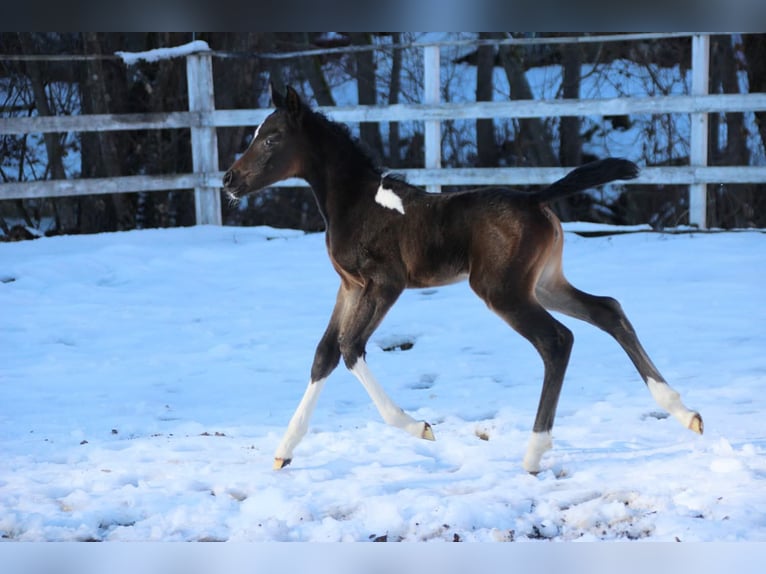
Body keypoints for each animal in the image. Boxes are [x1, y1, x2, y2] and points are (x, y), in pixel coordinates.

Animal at [222, 84, 703, 473]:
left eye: (272, 137)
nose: (229, 179)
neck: (358, 204)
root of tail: (536, 198)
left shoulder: (385, 284)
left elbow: (350, 348)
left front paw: (419, 427)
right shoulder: (350, 287)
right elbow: (324, 354)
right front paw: (284, 451)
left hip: (500, 290)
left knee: (557, 340)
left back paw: (534, 453)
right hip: (544, 283)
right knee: (608, 310)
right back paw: (684, 412)